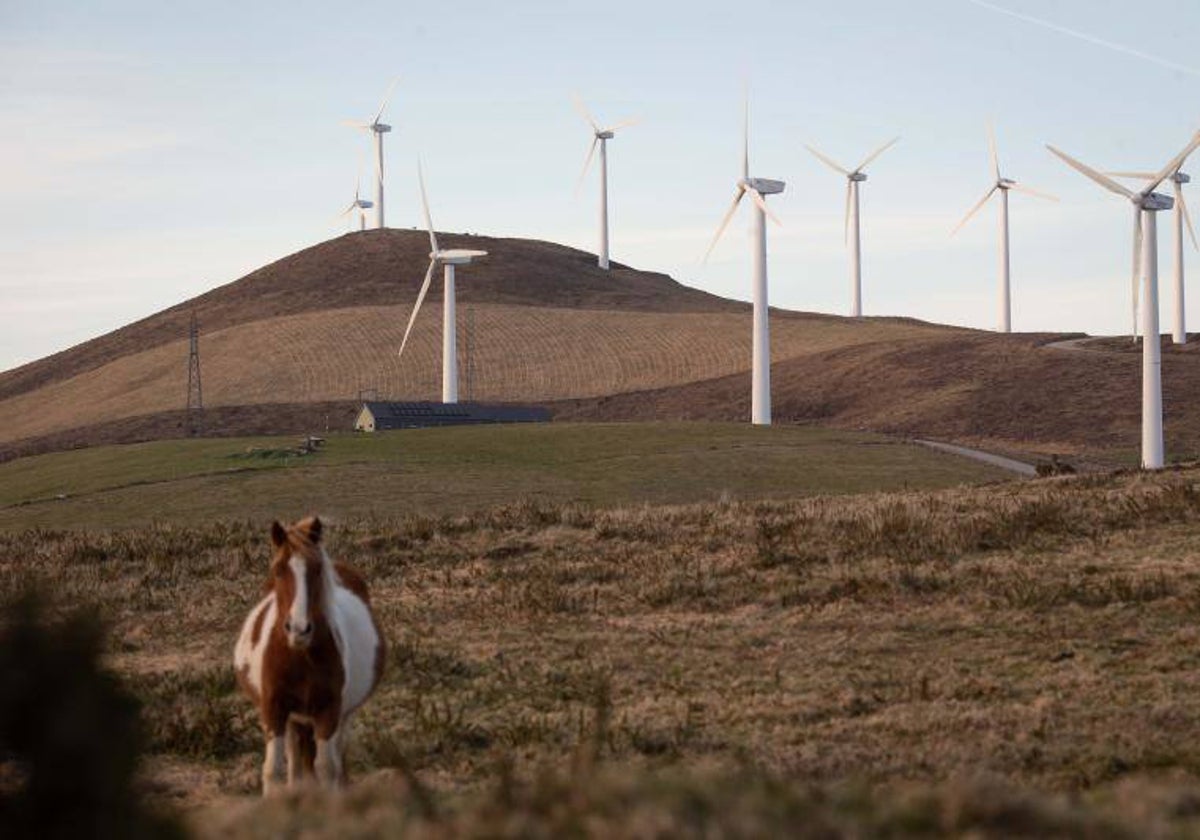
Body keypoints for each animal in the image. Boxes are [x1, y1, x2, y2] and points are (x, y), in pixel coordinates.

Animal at [234, 511, 384, 792]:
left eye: (316, 570)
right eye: (278, 570)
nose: (299, 629)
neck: (299, 656)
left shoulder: (329, 711)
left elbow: (326, 768)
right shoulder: (274, 709)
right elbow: (273, 770)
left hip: (343, 715)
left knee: (338, 757)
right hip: (295, 720)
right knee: (295, 761)